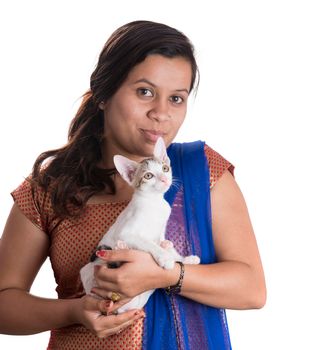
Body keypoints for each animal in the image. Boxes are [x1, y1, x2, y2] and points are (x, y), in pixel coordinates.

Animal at [79, 138, 200, 314]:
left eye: (165, 168)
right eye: (148, 176)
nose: (164, 179)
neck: (154, 202)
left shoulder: (161, 228)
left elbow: (160, 241)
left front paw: (177, 255)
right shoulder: (127, 232)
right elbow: (147, 243)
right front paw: (165, 258)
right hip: (90, 270)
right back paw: (121, 248)